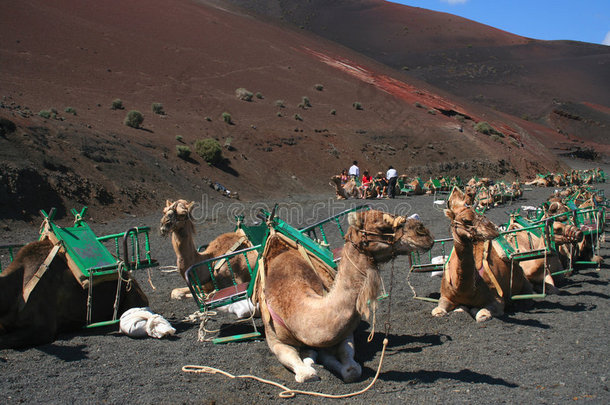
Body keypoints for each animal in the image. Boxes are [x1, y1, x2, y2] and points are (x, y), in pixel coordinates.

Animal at [255, 208, 432, 382]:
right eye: (382, 227)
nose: (424, 232)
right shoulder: (275, 341)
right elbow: (306, 373)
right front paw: (309, 364)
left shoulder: (344, 334)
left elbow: (351, 369)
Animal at [432, 187, 532, 322]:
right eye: (465, 220)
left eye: (480, 214)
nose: (493, 229)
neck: (465, 290)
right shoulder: (445, 297)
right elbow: (438, 311)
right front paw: (459, 309)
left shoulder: (497, 300)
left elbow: (481, 314)